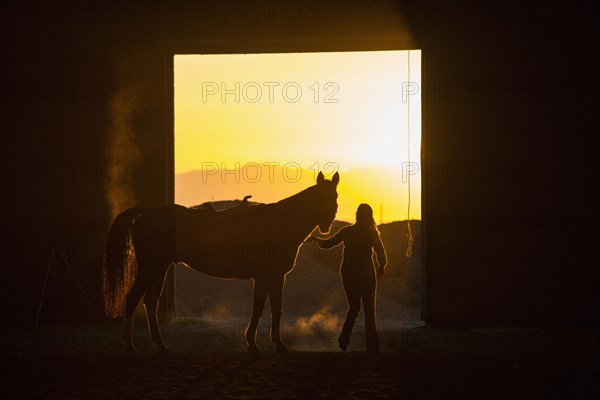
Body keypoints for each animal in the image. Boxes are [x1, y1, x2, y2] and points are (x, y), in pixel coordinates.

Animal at [103, 170, 338, 352]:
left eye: (334, 197)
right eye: (321, 197)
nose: (327, 223)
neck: (280, 223)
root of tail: (146, 213)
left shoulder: (271, 278)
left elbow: (270, 309)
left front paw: (264, 343)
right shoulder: (268, 277)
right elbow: (262, 309)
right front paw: (262, 344)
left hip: (158, 269)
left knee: (149, 303)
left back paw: (158, 344)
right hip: (153, 268)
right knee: (135, 299)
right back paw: (133, 344)